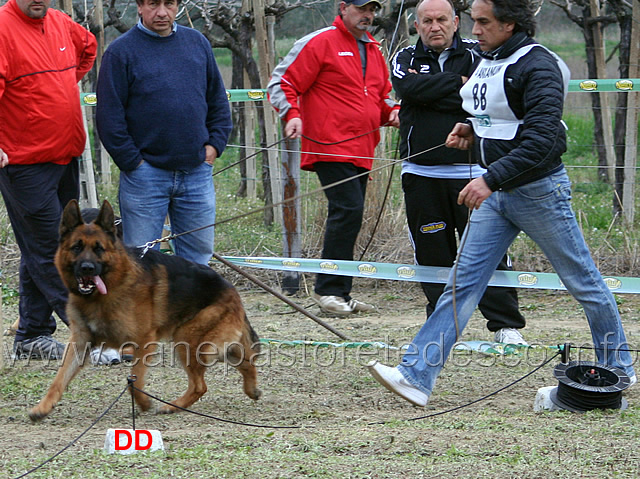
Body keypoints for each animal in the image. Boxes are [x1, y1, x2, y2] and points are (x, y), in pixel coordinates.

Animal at [30, 199, 260, 420]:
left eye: (99, 249)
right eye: (76, 248)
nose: (87, 268)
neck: (110, 288)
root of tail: (231, 288)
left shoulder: (143, 340)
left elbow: (135, 382)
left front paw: (144, 404)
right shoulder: (79, 342)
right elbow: (59, 379)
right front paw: (42, 408)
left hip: (188, 340)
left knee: (200, 386)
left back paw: (172, 406)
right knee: (245, 362)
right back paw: (252, 390)